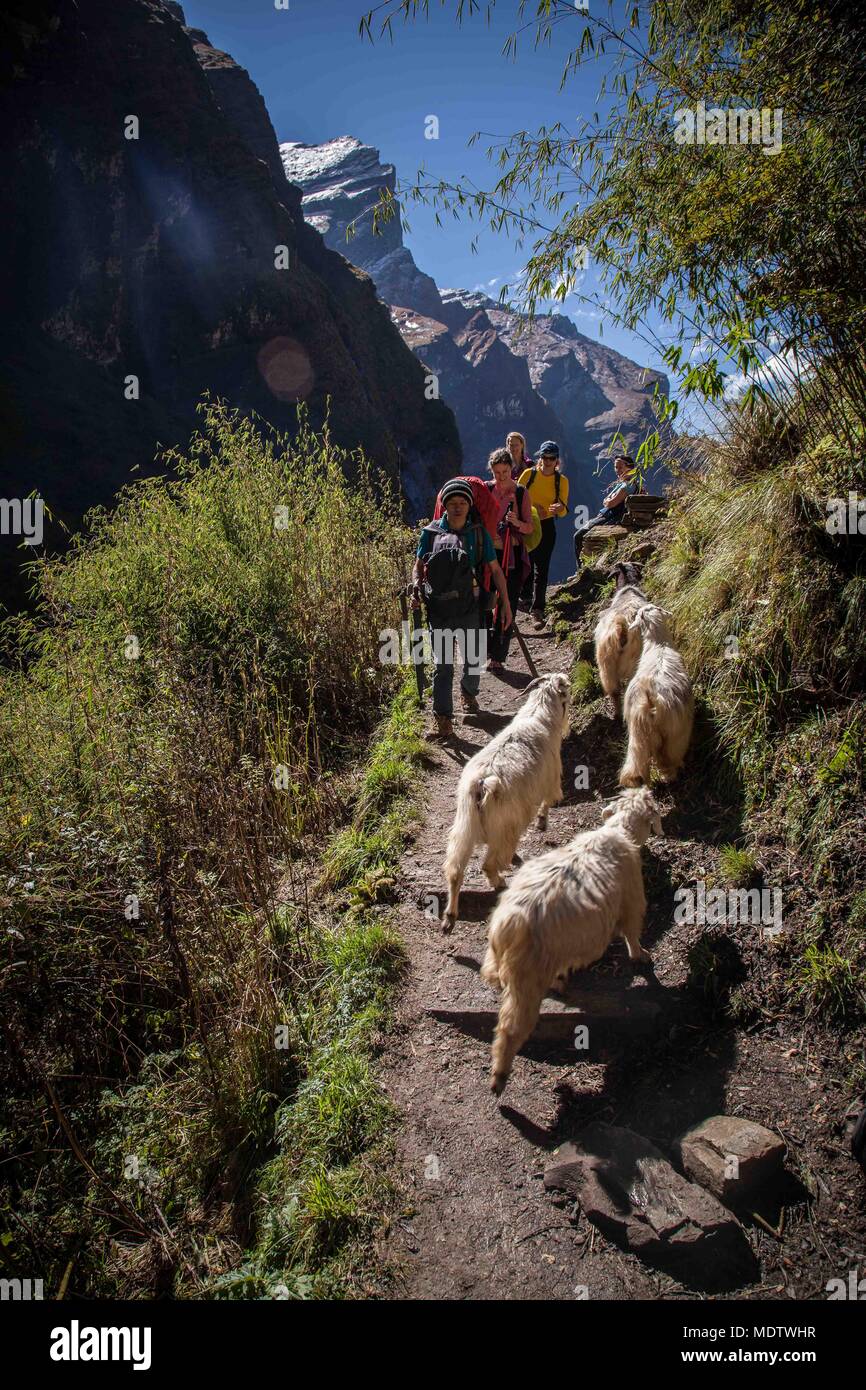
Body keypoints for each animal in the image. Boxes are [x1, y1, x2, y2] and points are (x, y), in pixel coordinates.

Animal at [444, 672, 572, 934]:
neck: (538, 715)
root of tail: (483, 785)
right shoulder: (550, 780)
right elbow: (547, 801)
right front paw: (542, 822)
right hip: (505, 829)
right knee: (489, 864)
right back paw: (501, 881)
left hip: (464, 828)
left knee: (454, 870)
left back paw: (450, 916)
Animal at [480, 789, 664, 1089]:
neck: (619, 832)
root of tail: (507, 924)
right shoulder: (632, 900)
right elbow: (632, 934)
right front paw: (642, 957)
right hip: (526, 979)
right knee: (510, 1028)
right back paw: (499, 1077)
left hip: (501, 960)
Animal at [619, 603, 695, 789]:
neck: (658, 644)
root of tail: (650, 700)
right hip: (675, 733)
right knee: (669, 758)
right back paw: (671, 775)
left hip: (638, 734)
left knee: (638, 763)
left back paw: (640, 782)